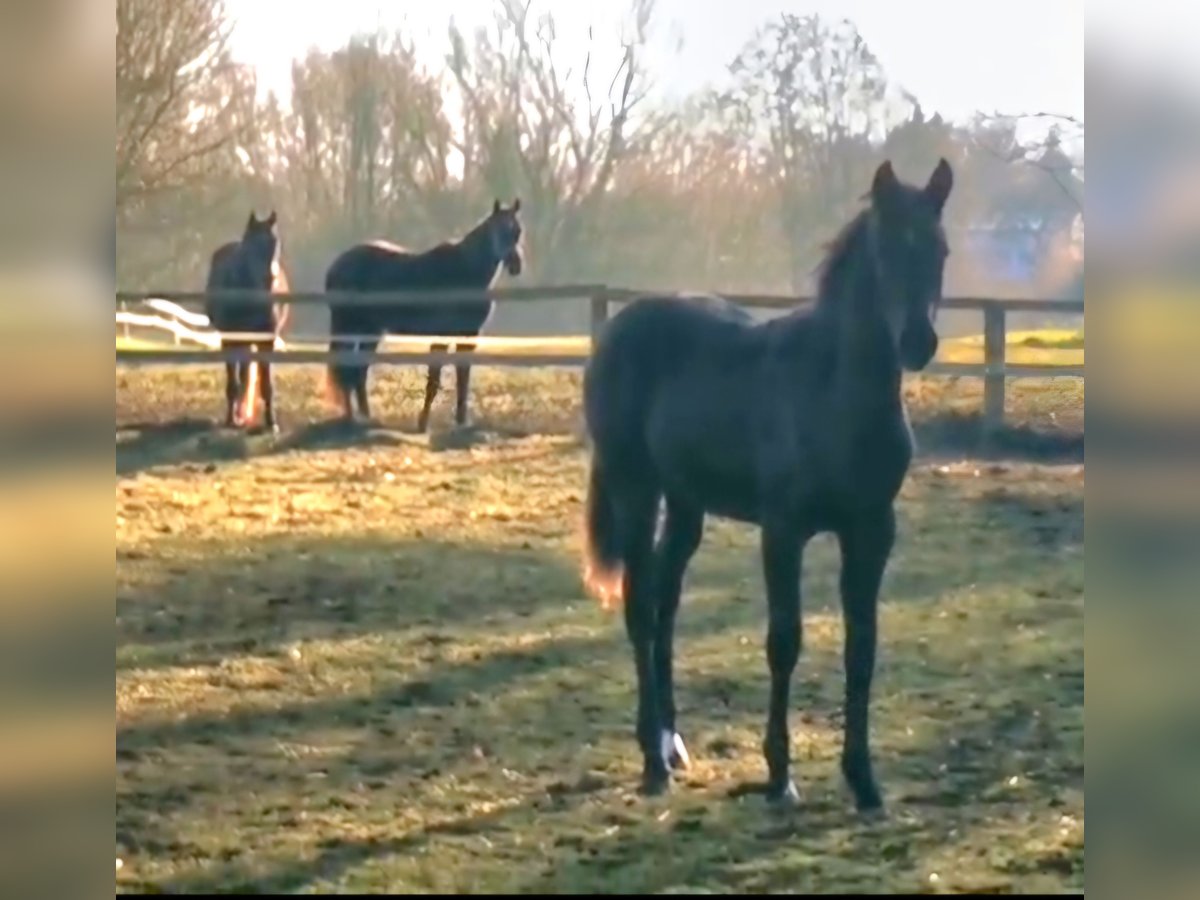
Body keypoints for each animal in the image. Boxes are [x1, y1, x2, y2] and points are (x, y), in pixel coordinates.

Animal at [203, 210, 291, 432]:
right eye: (251, 244)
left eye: (276, 242)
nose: (269, 278)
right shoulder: (230, 339)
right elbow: (233, 383)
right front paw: (231, 420)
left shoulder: (266, 341)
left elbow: (266, 384)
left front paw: (271, 422)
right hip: (240, 341)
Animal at [323, 199, 524, 431]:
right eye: (498, 230)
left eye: (517, 231)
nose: (516, 265)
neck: (464, 272)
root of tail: (337, 265)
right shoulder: (441, 337)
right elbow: (434, 381)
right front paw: (423, 424)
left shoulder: (467, 337)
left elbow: (463, 378)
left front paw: (461, 422)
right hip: (348, 326)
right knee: (346, 369)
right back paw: (351, 419)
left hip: (370, 330)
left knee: (358, 372)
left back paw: (366, 418)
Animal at [579, 158, 954, 811]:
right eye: (885, 249)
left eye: (940, 250)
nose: (918, 343)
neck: (834, 392)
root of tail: (619, 327)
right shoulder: (783, 531)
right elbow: (785, 642)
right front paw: (780, 776)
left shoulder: (872, 530)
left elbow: (863, 647)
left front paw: (864, 779)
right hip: (634, 486)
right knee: (639, 603)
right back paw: (652, 760)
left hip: (686, 501)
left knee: (666, 600)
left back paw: (672, 743)